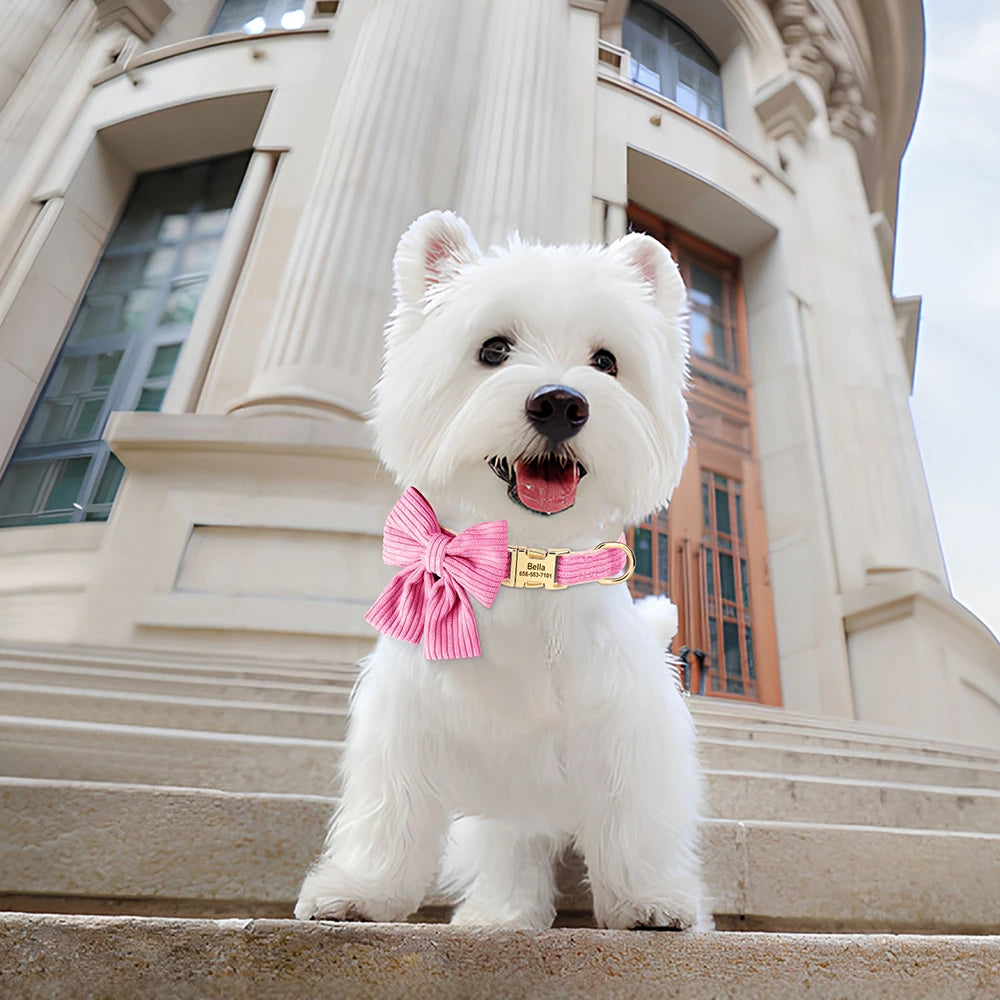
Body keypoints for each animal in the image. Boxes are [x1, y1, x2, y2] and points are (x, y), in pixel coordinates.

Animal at [296, 209, 704, 928]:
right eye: (492, 349)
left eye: (607, 361)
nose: (561, 403)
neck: (520, 564)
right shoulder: (406, 721)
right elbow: (389, 811)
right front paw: (362, 891)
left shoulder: (630, 731)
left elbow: (634, 821)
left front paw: (648, 899)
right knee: (511, 851)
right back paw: (501, 916)